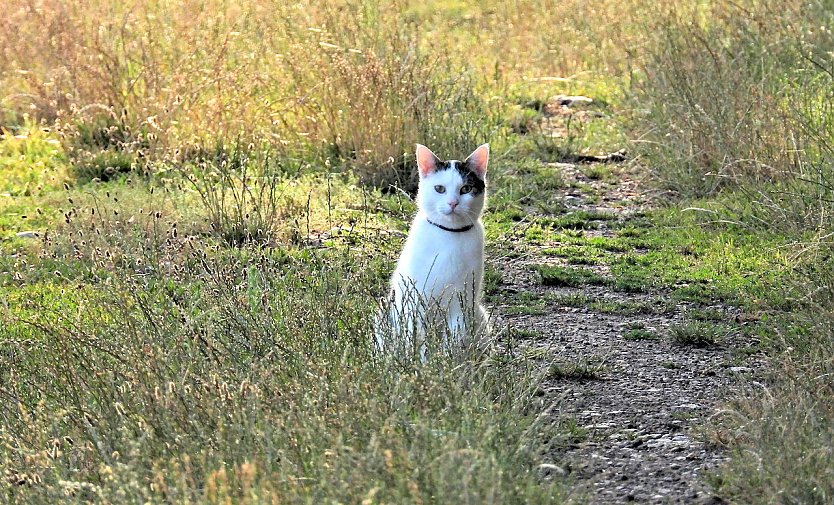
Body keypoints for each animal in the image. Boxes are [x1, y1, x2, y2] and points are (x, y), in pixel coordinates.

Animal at [376, 144, 488, 360]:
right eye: (439, 189)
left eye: (466, 189)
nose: (453, 203)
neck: (449, 236)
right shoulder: (417, 300)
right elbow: (419, 338)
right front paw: (422, 363)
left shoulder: (463, 301)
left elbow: (455, 338)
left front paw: (449, 363)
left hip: (479, 315)